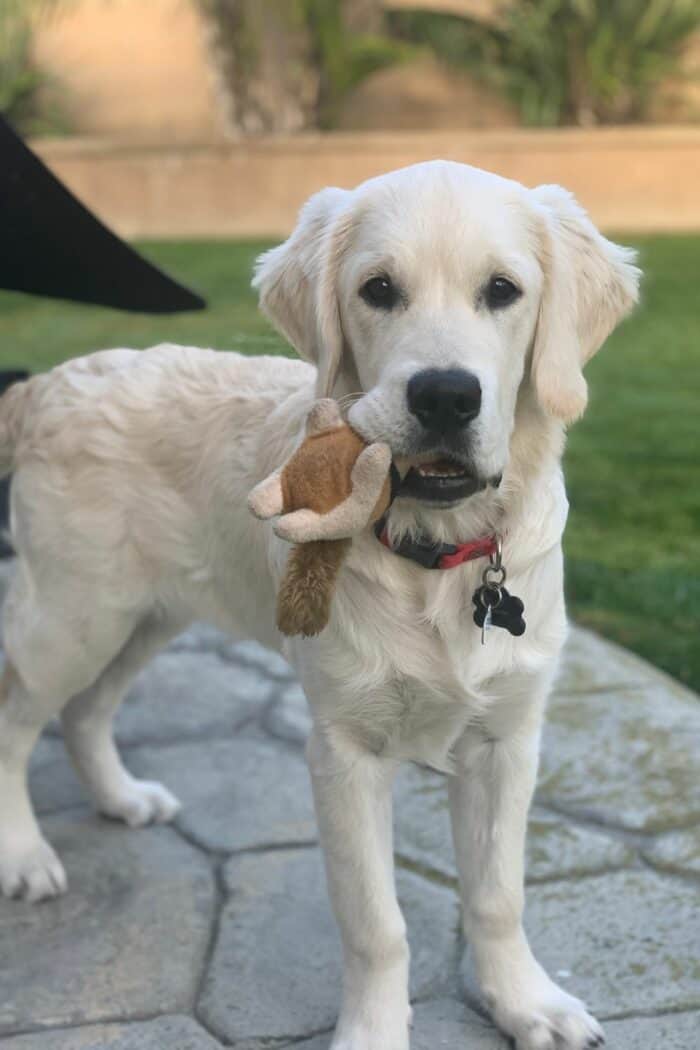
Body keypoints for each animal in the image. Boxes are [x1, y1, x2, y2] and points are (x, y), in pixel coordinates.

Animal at [0, 161, 638, 1050]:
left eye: (503, 290)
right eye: (379, 290)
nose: (446, 397)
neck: (437, 551)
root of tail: (48, 383)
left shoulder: (508, 739)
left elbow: (497, 894)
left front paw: (525, 1002)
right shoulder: (343, 748)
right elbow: (377, 924)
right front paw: (375, 1031)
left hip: (147, 615)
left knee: (85, 712)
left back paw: (122, 799)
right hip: (71, 618)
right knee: (17, 719)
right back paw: (23, 855)